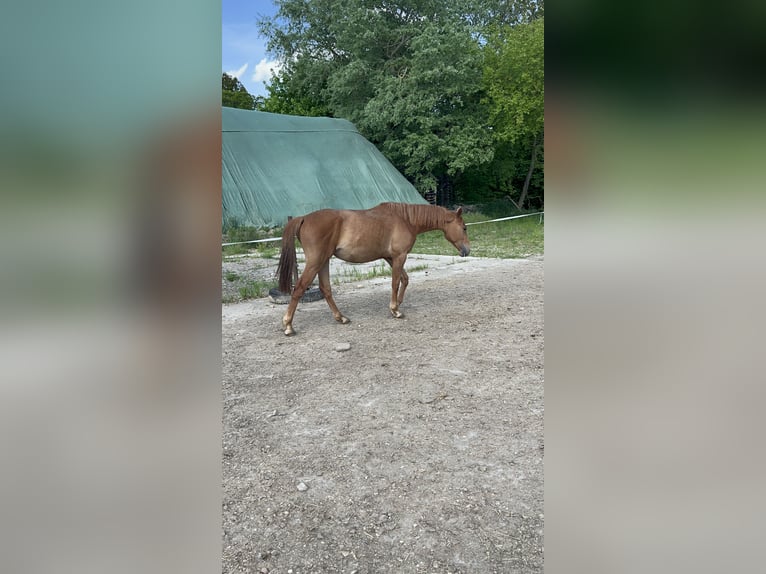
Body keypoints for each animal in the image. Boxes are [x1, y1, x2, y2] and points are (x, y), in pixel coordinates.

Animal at [276, 202, 470, 336]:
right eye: (464, 228)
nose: (467, 250)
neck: (405, 219)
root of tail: (303, 218)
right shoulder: (399, 256)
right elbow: (395, 283)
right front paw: (395, 310)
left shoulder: (390, 258)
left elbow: (404, 279)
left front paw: (398, 303)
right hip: (316, 262)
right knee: (299, 289)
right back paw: (288, 325)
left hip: (323, 262)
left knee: (326, 289)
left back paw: (341, 317)